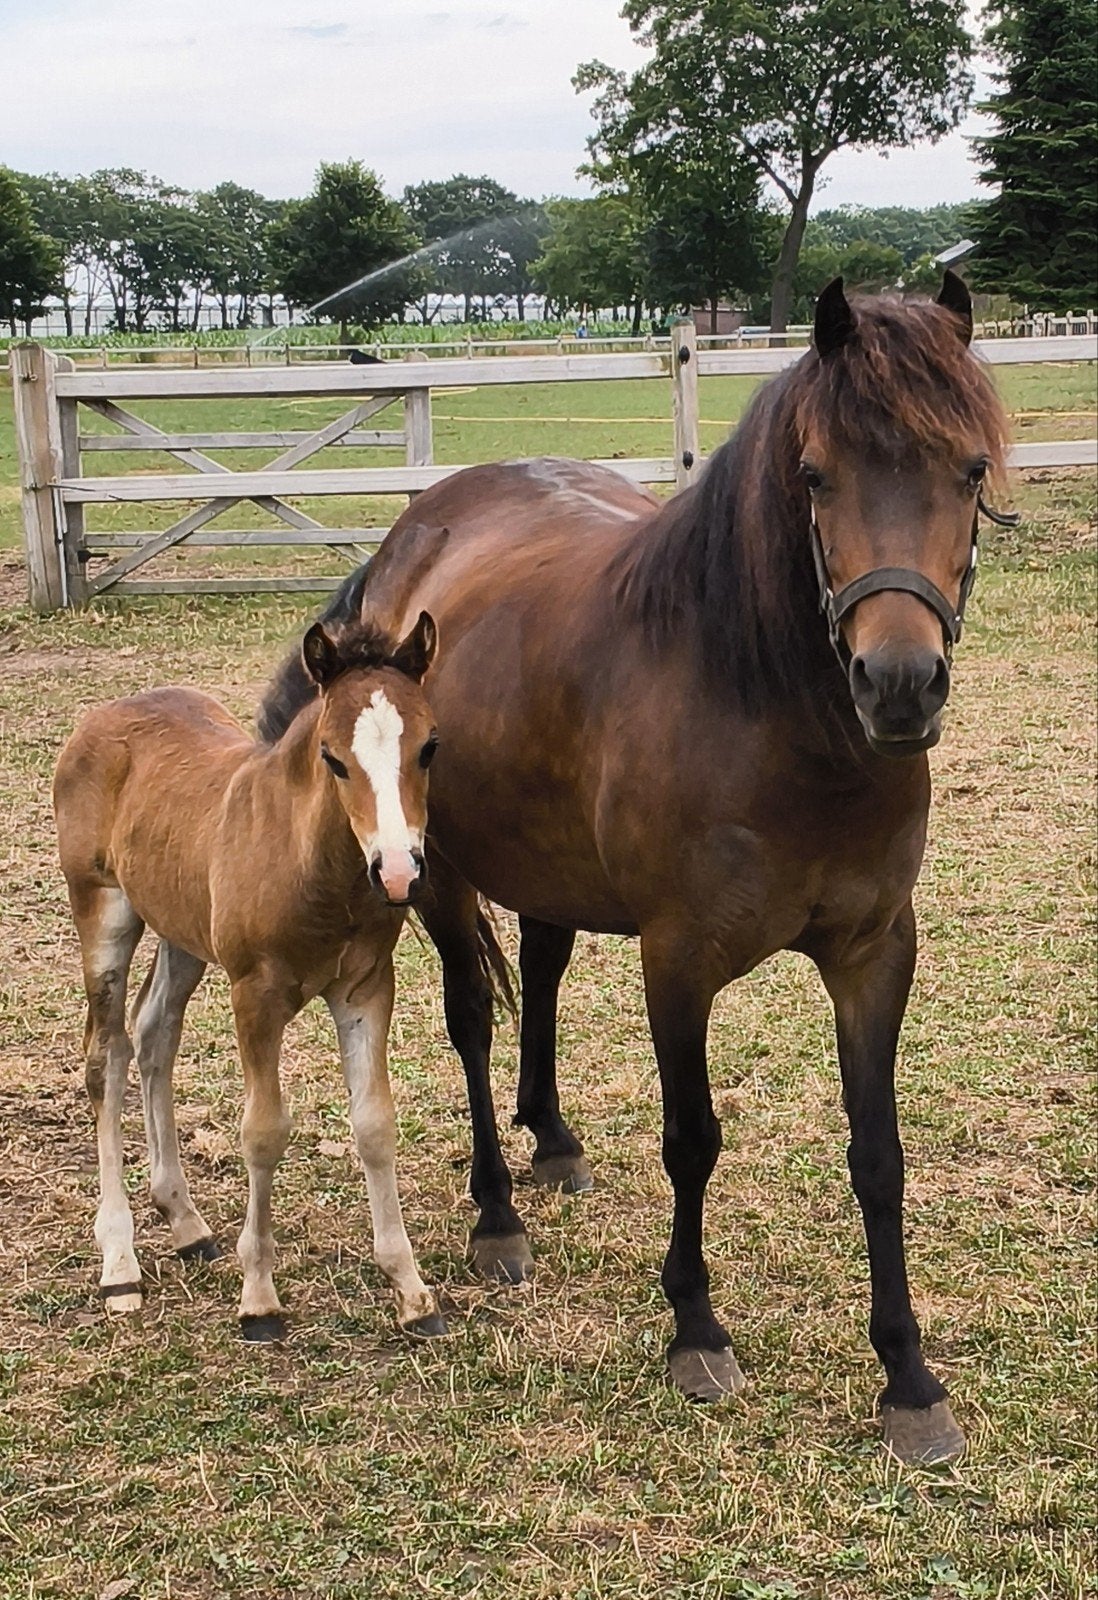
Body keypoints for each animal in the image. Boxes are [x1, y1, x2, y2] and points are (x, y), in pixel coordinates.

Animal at [54, 610, 450, 1342]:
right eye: (332, 756)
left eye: (429, 746)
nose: (398, 872)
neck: (307, 860)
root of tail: (103, 715)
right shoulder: (255, 995)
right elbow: (264, 1132)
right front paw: (259, 1298)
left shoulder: (365, 987)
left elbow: (375, 1123)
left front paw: (411, 1290)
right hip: (102, 910)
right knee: (106, 1055)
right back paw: (119, 1263)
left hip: (182, 928)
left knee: (154, 1034)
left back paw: (185, 1222)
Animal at [258, 275, 1014, 1461]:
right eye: (815, 475)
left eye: (970, 470)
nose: (897, 685)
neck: (770, 713)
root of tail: (410, 536)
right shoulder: (680, 961)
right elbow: (692, 1138)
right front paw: (695, 1327)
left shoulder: (875, 952)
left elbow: (878, 1154)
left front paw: (908, 1377)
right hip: (434, 871)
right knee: (472, 1018)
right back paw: (497, 1212)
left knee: (544, 969)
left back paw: (553, 1139)